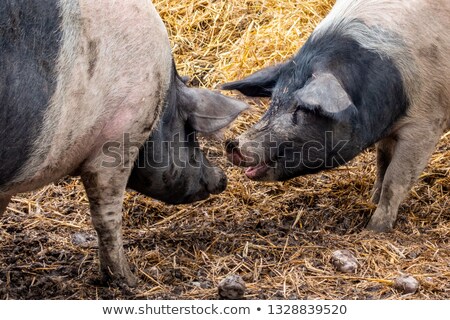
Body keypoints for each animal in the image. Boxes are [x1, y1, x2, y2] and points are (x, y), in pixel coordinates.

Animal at [222, 0, 450, 231]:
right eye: (274, 100)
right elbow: (382, 163)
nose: (232, 144)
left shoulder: (426, 123)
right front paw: (370, 201)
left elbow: (395, 179)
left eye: (303, 109)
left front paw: (374, 229)